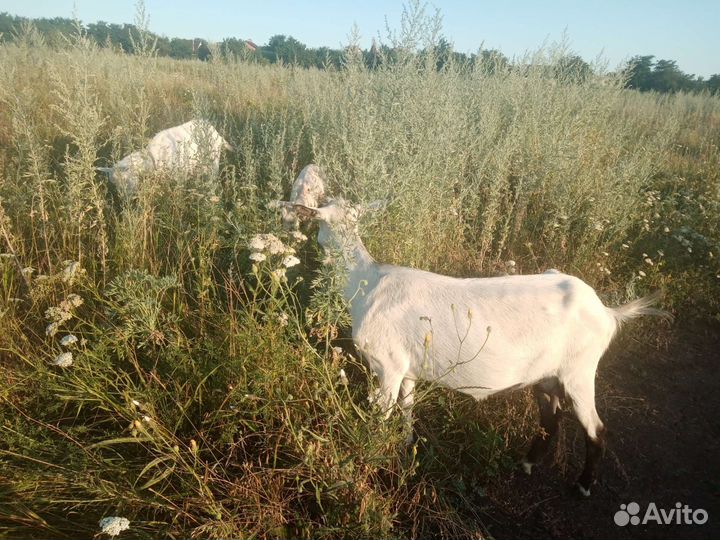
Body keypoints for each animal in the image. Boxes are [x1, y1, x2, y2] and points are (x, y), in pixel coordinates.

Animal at [96, 119, 232, 196]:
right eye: (113, 184)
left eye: (124, 180)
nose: (125, 200)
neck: (152, 158)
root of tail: (216, 131)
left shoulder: (179, 175)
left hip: (214, 158)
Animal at [287, 198, 671, 496]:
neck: (366, 283)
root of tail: (607, 312)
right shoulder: (406, 369)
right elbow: (407, 408)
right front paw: (406, 445)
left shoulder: (387, 366)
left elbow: (380, 418)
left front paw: (372, 457)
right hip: (546, 375)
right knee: (551, 418)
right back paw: (526, 464)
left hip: (580, 370)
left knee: (596, 428)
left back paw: (583, 485)